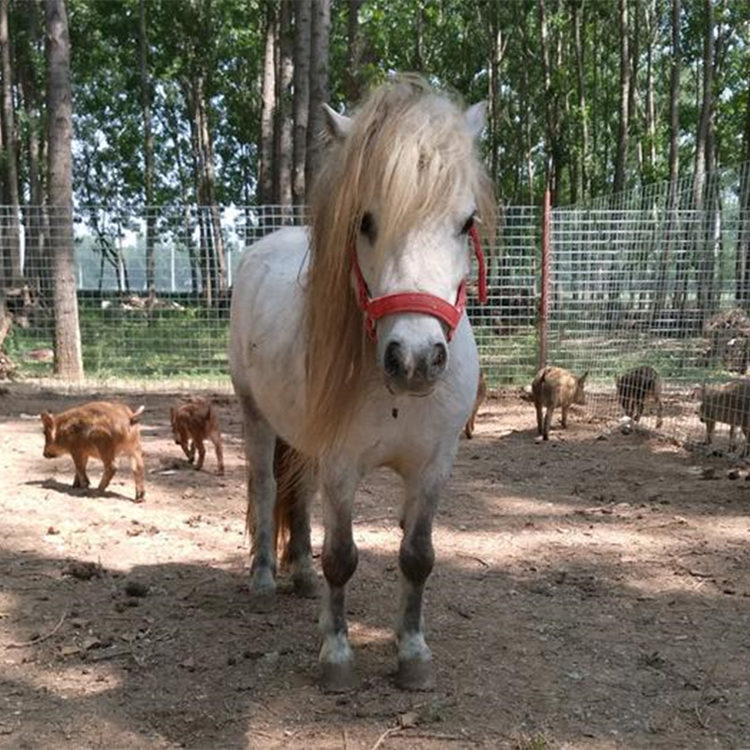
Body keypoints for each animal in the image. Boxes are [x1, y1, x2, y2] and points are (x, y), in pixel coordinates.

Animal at [229, 76, 500, 692]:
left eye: (467, 223)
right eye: (365, 221)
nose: (416, 359)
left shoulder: (433, 466)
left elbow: (417, 556)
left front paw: (413, 655)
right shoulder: (341, 465)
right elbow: (342, 558)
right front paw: (336, 656)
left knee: (296, 493)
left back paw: (300, 575)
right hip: (256, 415)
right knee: (266, 486)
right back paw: (264, 578)